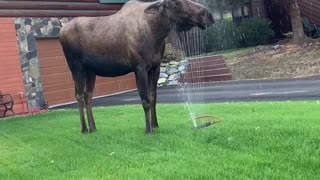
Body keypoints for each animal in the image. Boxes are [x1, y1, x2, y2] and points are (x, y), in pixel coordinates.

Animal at [60, 0, 215, 134]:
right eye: (174, 3)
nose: (208, 14)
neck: (157, 33)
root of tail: (61, 32)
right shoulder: (139, 68)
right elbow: (145, 99)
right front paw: (148, 130)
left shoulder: (155, 67)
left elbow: (153, 97)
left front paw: (155, 124)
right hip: (76, 68)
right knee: (79, 95)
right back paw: (84, 129)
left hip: (91, 71)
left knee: (88, 96)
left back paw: (93, 128)